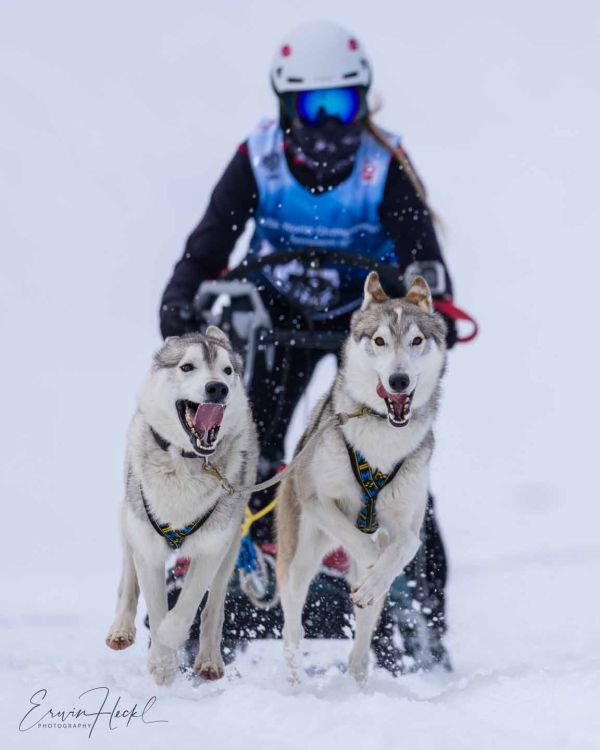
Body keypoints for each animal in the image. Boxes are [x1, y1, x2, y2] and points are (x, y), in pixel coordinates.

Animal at [106, 327, 258, 685]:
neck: (185, 463)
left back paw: (209, 660)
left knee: (215, 607)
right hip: (128, 517)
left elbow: (186, 606)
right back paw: (121, 629)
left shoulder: (212, 547)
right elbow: (153, 598)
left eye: (227, 370)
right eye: (187, 367)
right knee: (127, 580)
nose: (217, 388)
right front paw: (163, 663)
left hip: (232, 548)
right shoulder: (147, 544)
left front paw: (169, 638)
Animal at [276, 272, 447, 683]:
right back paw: (294, 681)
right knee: (293, 626)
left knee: (365, 629)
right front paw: (373, 566)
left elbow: (405, 546)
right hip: (298, 557)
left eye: (417, 340)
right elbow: (369, 550)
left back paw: (356, 678)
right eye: (380, 340)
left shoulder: (406, 522)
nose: (399, 380)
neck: (381, 437)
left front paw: (378, 573)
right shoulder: (317, 500)